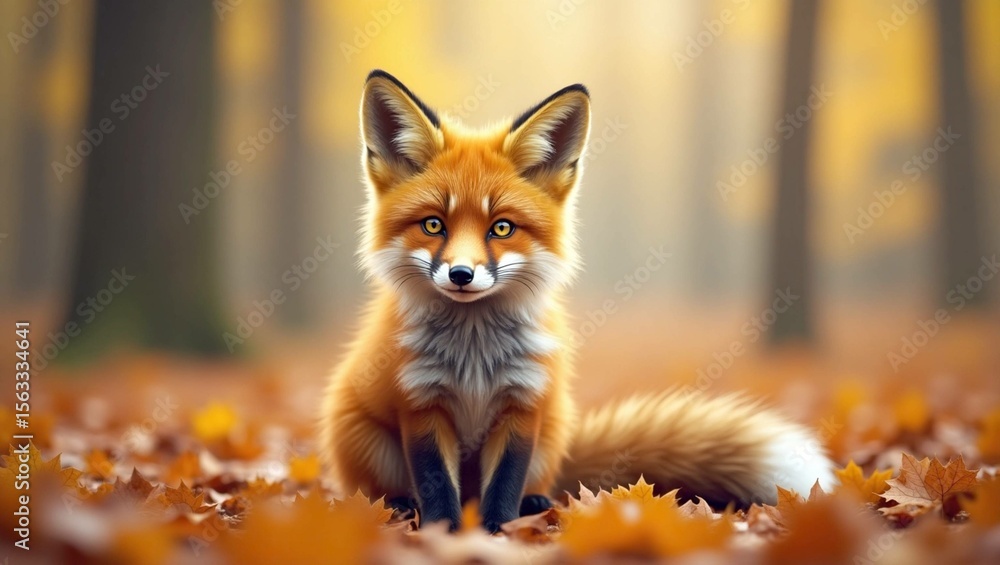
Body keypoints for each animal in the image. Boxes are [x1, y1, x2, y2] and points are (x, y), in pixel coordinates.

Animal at [321, 69, 834, 533]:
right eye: (433, 225)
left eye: (501, 227)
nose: (462, 274)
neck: (474, 356)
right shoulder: (420, 404)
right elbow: (437, 488)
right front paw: (444, 535)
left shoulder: (524, 403)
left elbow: (504, 487)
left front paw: (499, 533)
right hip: (363, 436)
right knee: (386, 491)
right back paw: (399, 507)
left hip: (551, 431)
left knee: (530, 485)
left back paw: (536, 504)